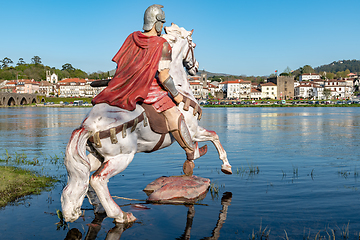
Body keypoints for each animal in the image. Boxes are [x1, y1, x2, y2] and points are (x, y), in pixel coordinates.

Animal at [60, 23, 232, 224]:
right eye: (194, 45)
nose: (195, 67)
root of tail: (88, 126)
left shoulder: (194, 132)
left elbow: (208, 138)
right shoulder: (193, 130)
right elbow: (213, 136)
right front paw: (224, 165)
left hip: (98, 157)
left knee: (84, 179)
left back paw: (99, 208)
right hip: (122, 157)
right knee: (98, 180)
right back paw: (120, 215)